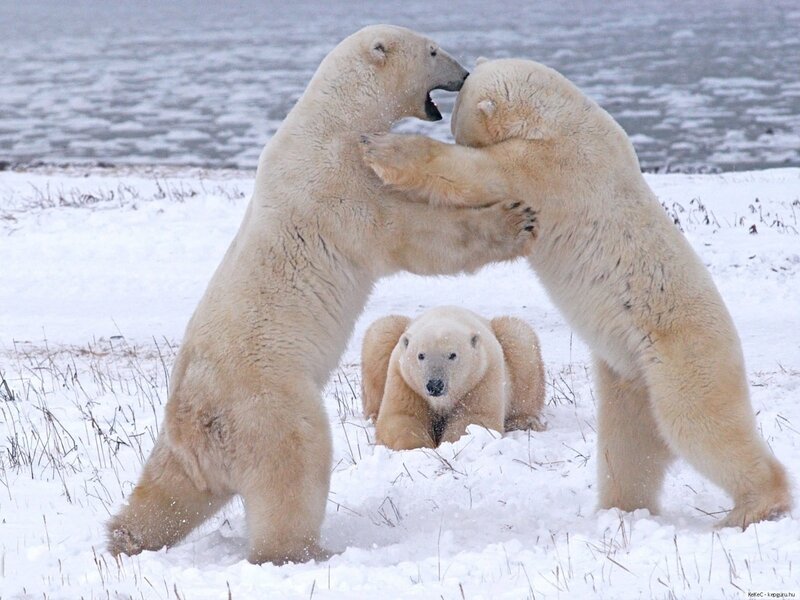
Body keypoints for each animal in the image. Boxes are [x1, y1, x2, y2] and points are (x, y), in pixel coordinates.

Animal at [361, 306, 545, 450]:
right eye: (421, 355)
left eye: (452, 355)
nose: (435, 385)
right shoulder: (404, 379)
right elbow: (402, 416)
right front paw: (419, 447)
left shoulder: (482, 376)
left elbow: (472, 418)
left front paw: (451, 445)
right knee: (381, 333)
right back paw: (373, 416)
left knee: (520, 340)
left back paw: (525, 422)